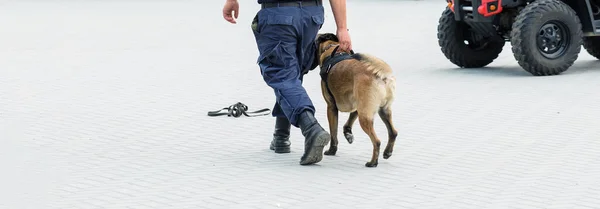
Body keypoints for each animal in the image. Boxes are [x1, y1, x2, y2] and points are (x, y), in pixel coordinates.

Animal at [314, 33, 398, 168]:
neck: (331, 49)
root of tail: (381, 76)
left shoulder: (331, 107)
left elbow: (333, 133)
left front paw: (332, 150)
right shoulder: (358, 104)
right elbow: (350, 118)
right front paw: (348, 133)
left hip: (365, 117)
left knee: (377, 141)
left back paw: (373, 162)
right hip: (383, 110)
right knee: (393, 132)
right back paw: (387, 152)